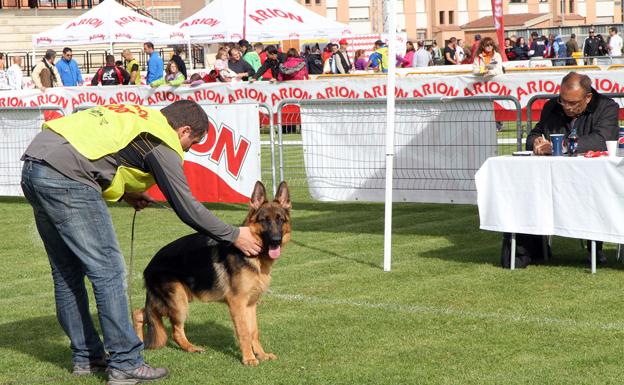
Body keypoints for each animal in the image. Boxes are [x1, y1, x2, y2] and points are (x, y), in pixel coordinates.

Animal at [133, 182, 292, 364]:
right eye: (264, 221)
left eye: (280, 220)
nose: (276, 240)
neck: (255, 256)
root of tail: (148, 267)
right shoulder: (237, 303)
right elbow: (244, 332)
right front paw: (249, 359)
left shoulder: (250, 304)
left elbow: (254, 332)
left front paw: (261, 354)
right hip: (178, 302)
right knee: (175, 330)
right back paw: (191, 347)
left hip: (170, 301)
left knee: (139, 313)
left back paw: (139, 344)